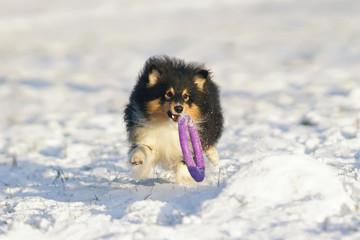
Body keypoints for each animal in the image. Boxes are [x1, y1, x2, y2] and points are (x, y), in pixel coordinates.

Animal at [125, 55, 224, 184]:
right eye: (168, 94)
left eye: (186, 96)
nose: (178, 108)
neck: (169, 125)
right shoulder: (145, 134)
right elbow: (143, 147)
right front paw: (137, 159)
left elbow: (185, 162)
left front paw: (185, 181)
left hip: (212, 123)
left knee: (209, 143)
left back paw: (215, 158)